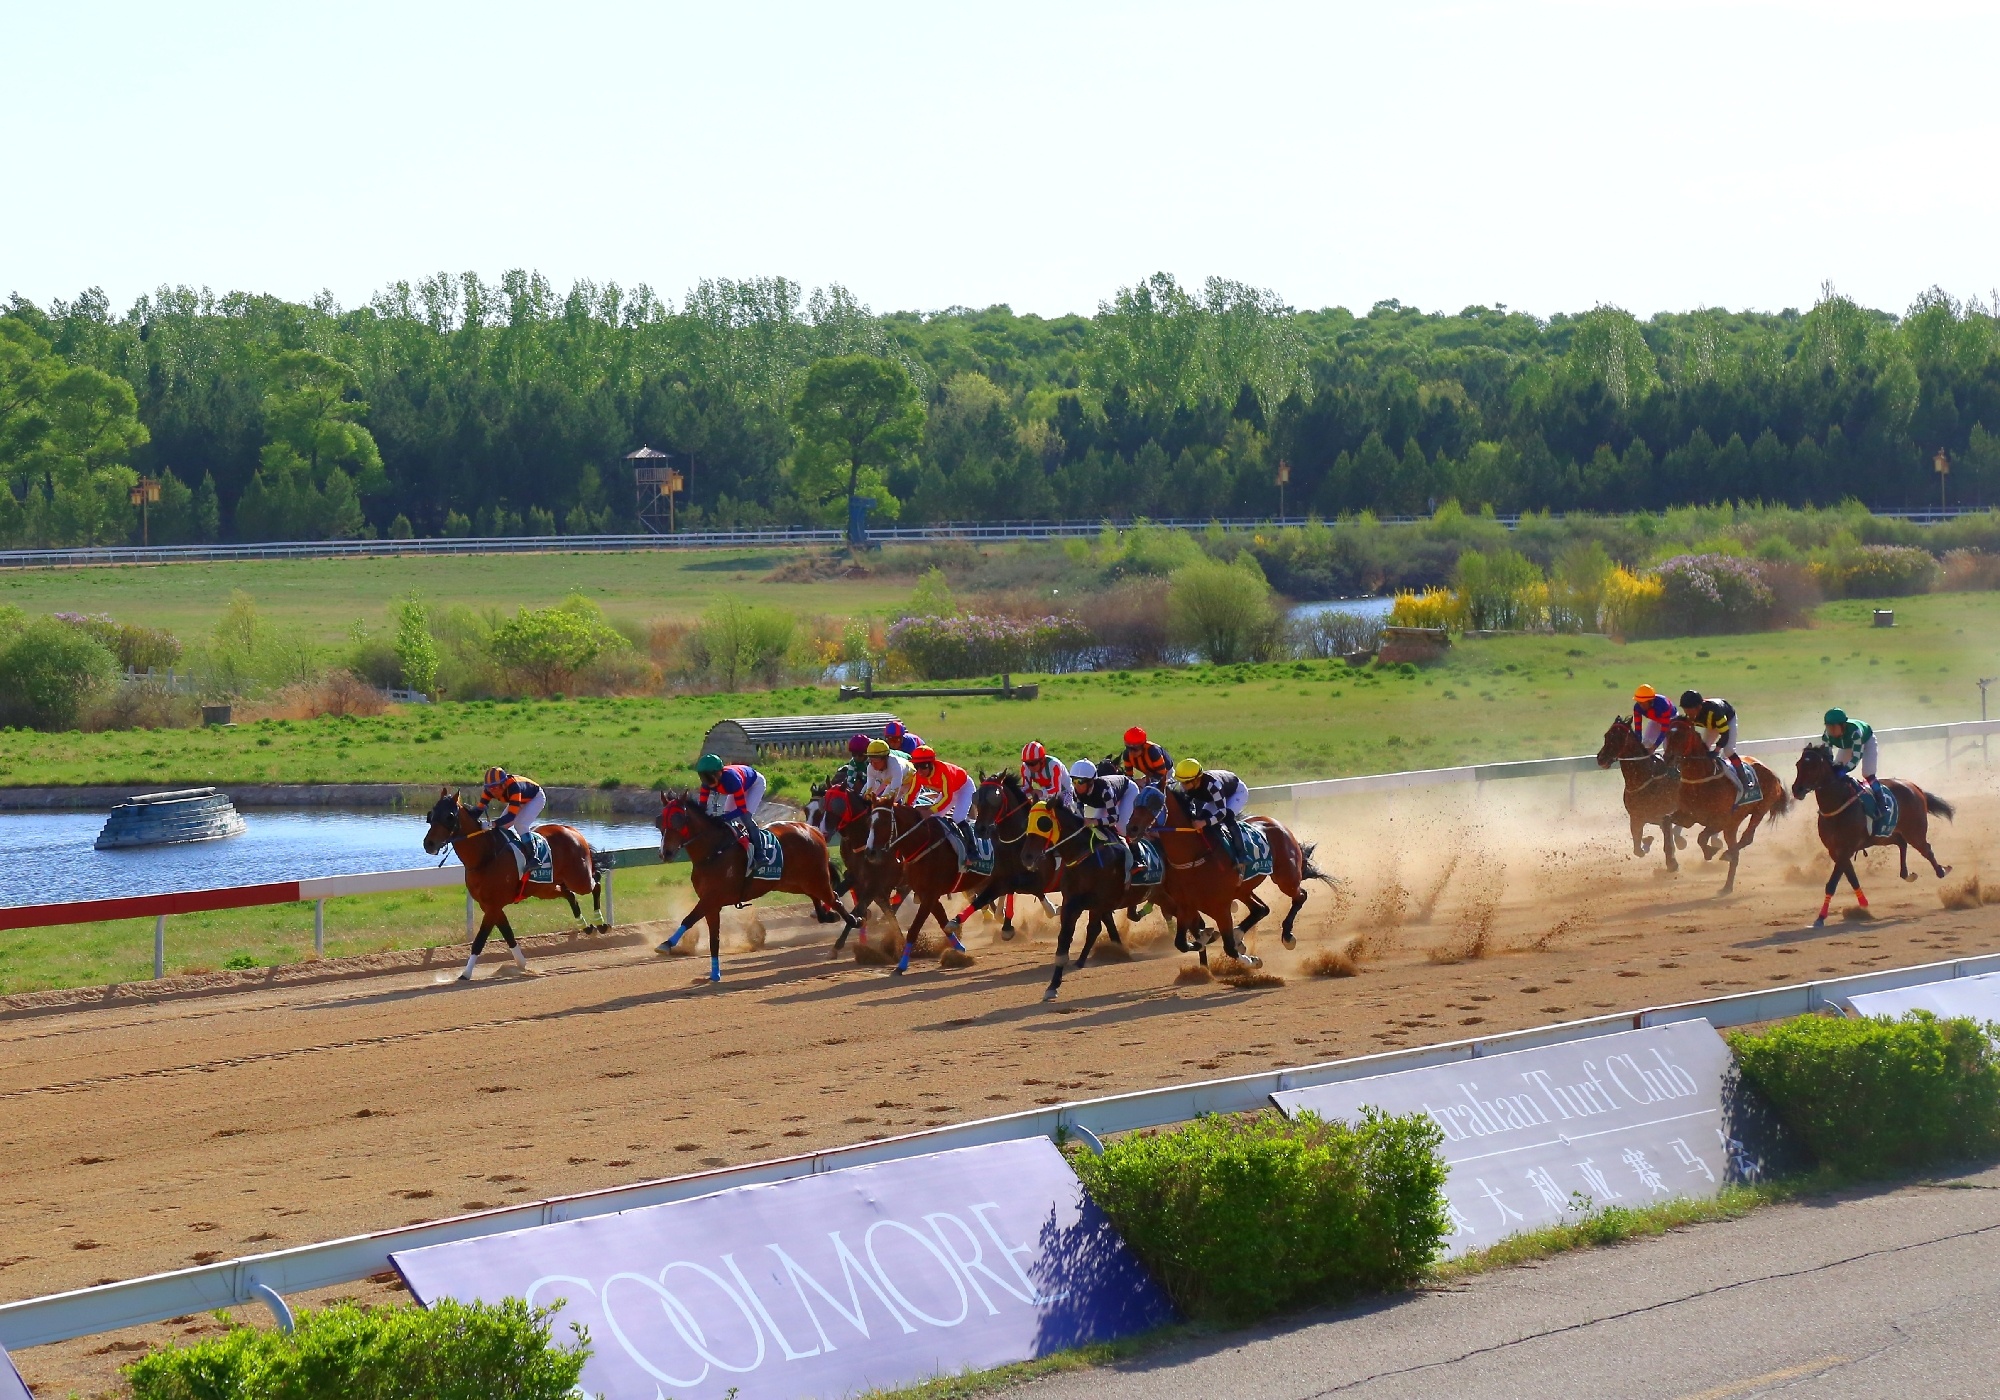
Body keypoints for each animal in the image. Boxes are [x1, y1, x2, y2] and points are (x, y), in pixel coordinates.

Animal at [420, 788, 600, 984]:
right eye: (432, 814)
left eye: (450, 816)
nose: (429, 843)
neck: (485, 856)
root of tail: (572, 830)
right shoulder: (490, 906)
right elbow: (508, 934)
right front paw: (522, 965)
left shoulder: (493, 906)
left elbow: (479, 941)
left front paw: (465, 974)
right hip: (545, 888)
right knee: (569, 894)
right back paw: (586, 927)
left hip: (579, 879)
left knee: (596, 883)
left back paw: (601, 924)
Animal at [648, 788, 852, 984]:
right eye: (660, 821)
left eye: (677, 819)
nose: (665, 853)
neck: (713, 852)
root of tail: (813, 830)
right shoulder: (712, 904)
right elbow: (714, 939)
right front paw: (715, 974)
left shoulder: (713, 897)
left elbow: (689, 919)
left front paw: (665, 944)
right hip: (796, 882)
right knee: (822, 898)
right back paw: (829, 917)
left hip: (816, 879)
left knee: (834, 899)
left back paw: (852, 922)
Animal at [1592, 716, 1688, 868]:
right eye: (1607, 735)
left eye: (1619, 737)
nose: (1601, 758)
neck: (1643, 779)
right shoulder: (1636, 817)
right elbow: (1637, 847)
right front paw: (1647, 841)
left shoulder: (1665, 815)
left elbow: (1667, 841)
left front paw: (1672, 863)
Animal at [1656, 720, 1800, 896]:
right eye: (1668, 734)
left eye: (1682, 735)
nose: (1667, 758)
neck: (1701, 780)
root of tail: (1771, 773)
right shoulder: (1688, 816)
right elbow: (1666, 821)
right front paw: (1671, 862)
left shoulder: (1721, 820)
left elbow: (1701, 837)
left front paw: (1710, 852)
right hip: (1735, 822)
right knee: (1736, 847)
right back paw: (1727, 883)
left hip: (1758, 811)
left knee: (1746, 839)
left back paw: (1727, 864)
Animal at [1800, 744, 1952, 928]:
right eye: (1798, 765)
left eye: (1813, 766)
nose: (1796, 789)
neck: (1837, 805)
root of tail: (1914, 786)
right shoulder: (1835, 850)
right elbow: (1851, 877)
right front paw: (1863, 904)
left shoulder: (1846, 849)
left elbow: (1832, 883)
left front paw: (1821, 917)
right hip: (1883, 835)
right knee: (1901, 843)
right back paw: (1907, 874)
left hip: (1914, 830)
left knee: (1926, 849)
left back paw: (1942, 870)